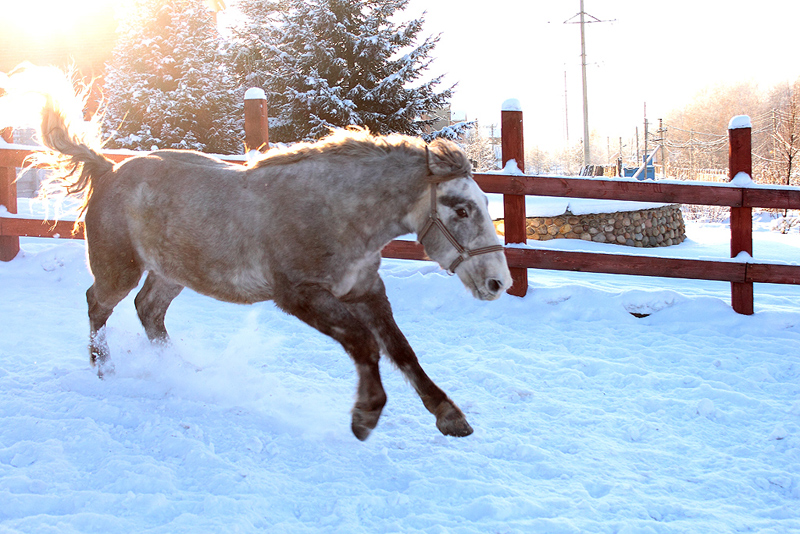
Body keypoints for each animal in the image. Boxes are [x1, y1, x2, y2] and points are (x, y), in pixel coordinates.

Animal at [28, 73, 512, 442]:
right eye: (461, 209)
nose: (498, 283)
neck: (335, 210)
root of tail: (107, 168)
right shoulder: (298, 296)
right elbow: (364, 343)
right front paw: (365, 415)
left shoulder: (366, 290)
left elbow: (401, 349)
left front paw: (449, 415)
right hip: (119, 268)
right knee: (98, 304)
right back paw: (105, 369)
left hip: (171, 272)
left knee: (148, 311)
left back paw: (183, 369)